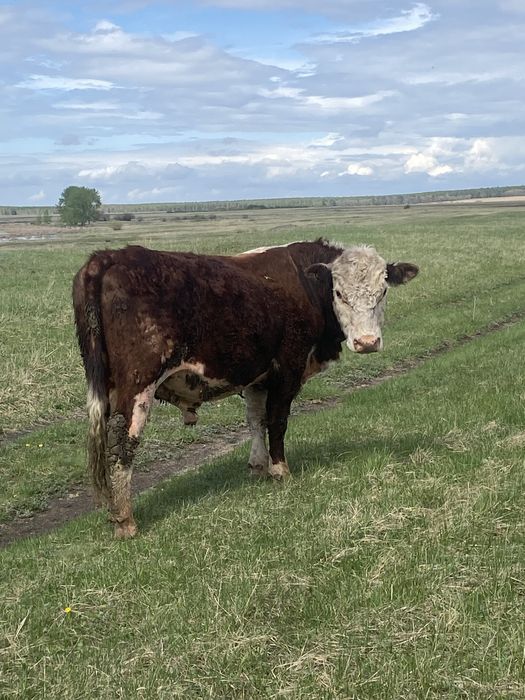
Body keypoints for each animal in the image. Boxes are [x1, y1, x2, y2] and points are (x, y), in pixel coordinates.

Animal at [72, 238, 418, 538]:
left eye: (383, 291)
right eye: (339, 293)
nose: (367, 342)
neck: (304, 284)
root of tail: (109, 257)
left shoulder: (258, 376)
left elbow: (255, 420)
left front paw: (257, 466)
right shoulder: (287, 368)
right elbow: (277, 421)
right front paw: (280, 470)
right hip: (138, 383)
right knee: (123, 442)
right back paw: (125, 520)